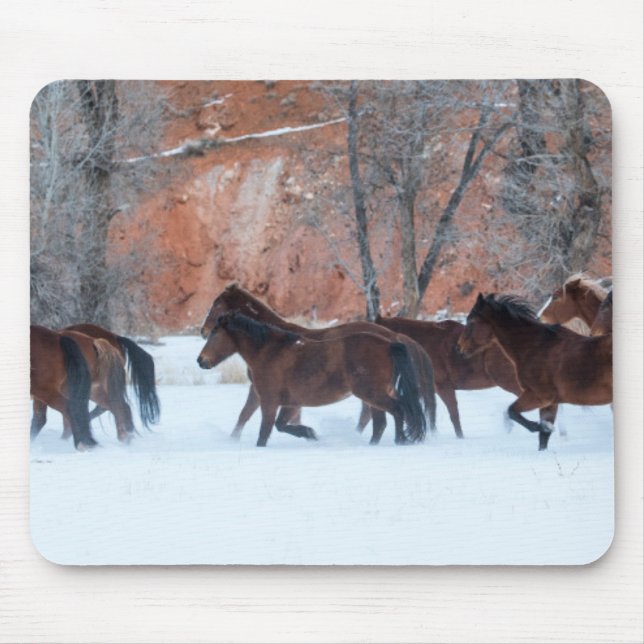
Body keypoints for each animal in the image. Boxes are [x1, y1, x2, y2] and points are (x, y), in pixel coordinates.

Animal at [200, 283, 436, 441]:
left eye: (216, 305)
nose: (202, 332)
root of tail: (393, 338)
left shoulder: (264, 391)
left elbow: (250, 415)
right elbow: (248, 415)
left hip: (370, 390)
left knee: (382, 414)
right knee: (378, 417)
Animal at [373, 314, 561, 437]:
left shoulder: (443, 386)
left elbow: (453, 414)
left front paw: (459, 437)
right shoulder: (429, 388)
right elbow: (431, 412)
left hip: (509, 381)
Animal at [457, 294, 612, 450]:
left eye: (471, 321)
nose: (459, 349)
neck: (537, 347)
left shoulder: (539, 396)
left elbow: (512, 411)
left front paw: (540, 426)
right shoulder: (550, 403)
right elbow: (543, 438)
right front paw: (544, 431)